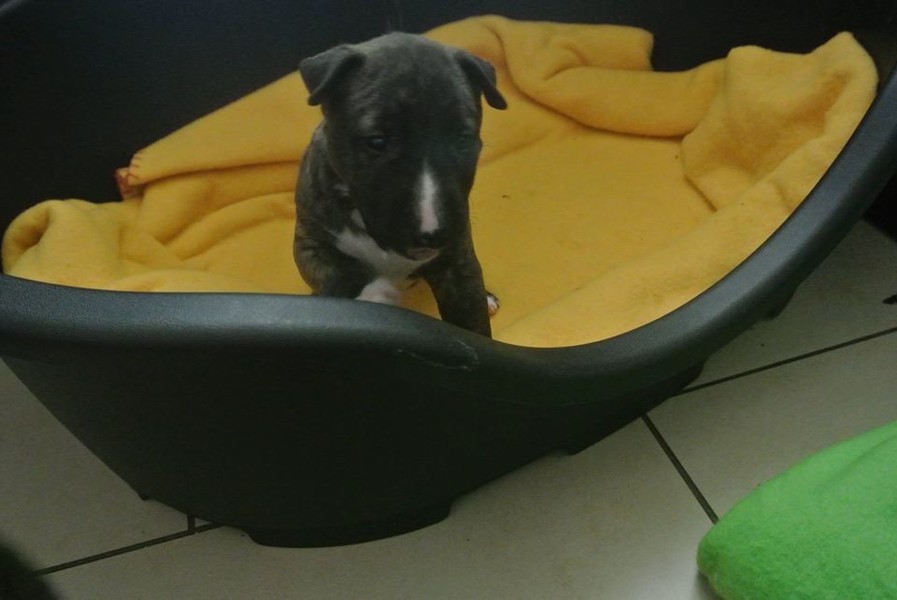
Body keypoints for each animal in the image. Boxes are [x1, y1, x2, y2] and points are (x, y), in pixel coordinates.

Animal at [293, 32, 507, 337]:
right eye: (376, 141)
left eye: (463, 137)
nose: (433, 235)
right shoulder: (309, 242)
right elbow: (337, 271)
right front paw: (374, 294)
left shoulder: (458, 263)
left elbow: (471, 322)